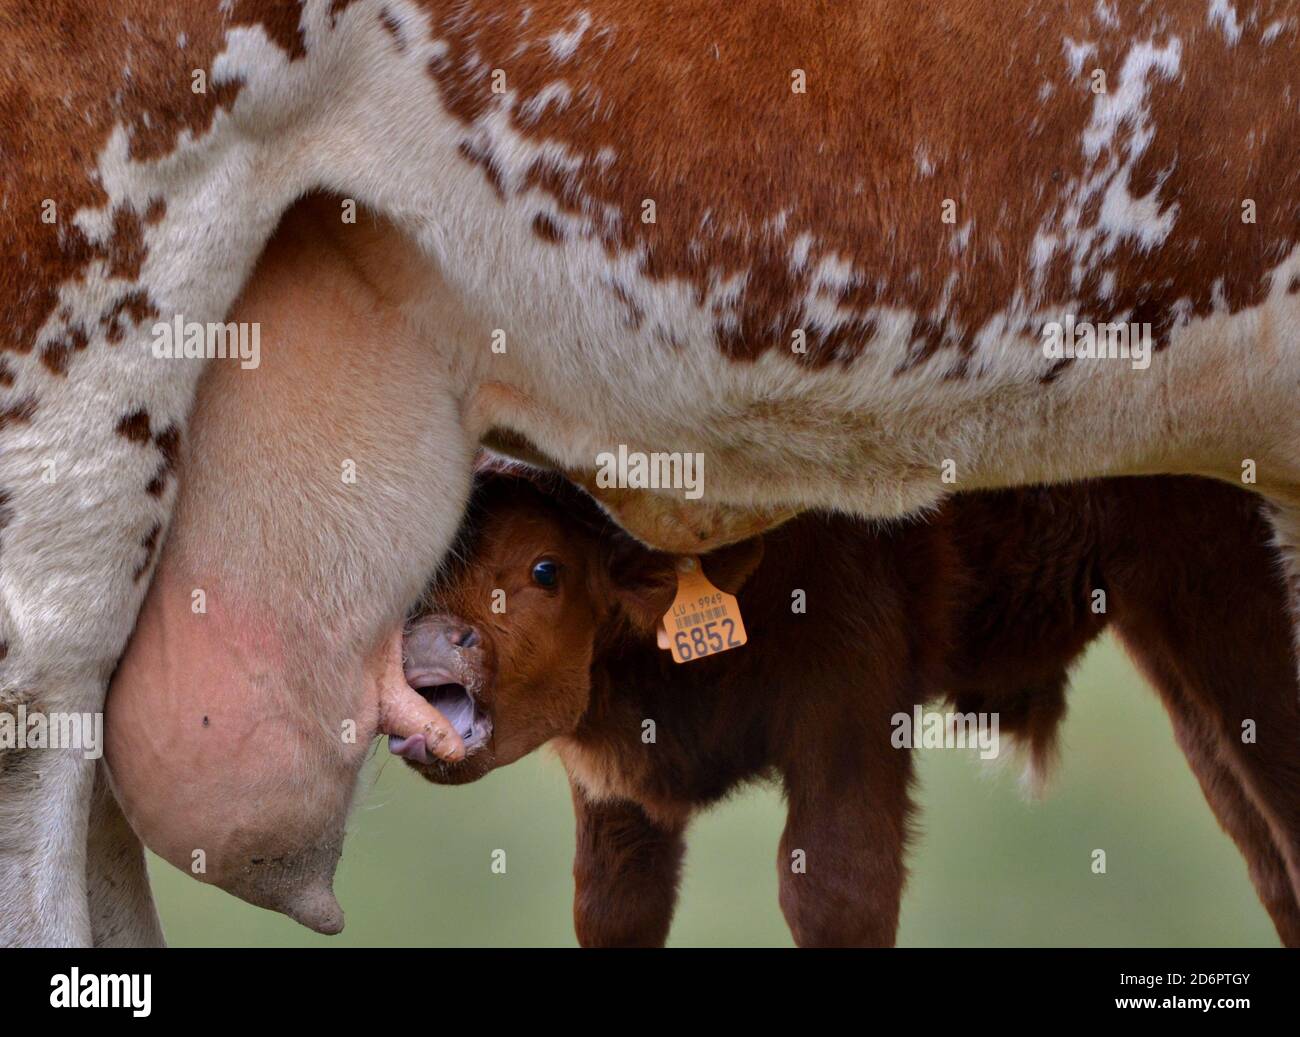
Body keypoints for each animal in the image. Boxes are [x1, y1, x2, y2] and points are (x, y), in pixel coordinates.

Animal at [405, 470, 1300, 951]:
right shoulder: (618, 795)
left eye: (545, 568)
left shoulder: (849, 713)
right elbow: (615, 907)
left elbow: (837, 892)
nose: (425, 647)